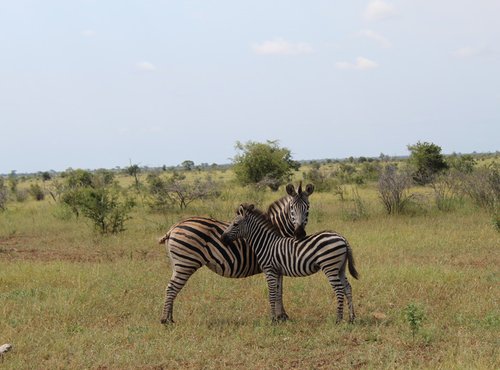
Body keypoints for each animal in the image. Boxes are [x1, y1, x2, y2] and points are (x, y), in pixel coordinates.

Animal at [157, 182, 312, 324]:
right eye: (291, 208)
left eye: (308, 208)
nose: (299, 233)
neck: (277, 228)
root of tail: (174, 227)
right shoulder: (276, 263)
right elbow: (278, 289)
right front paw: (281, 316)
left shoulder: (277, 265)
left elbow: (280, 289)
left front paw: (282, 316)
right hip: (186, 263)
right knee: (171, 288)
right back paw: (165, 320)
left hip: (178, 264)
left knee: (173, 288)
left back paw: (170, 318)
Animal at [221, 204, 358, 322]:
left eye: (235, 224)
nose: (222, 238)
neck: (266, 244)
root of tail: (342, 237)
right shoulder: (277, 271)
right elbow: (277, 293)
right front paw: (279, 317)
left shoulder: (270, 270)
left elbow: (271, 294)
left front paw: (272, 319)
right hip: (340, 268)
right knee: (347, 288)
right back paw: (351, 318)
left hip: (330, 266)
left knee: (339, 290)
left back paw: (338, 319)